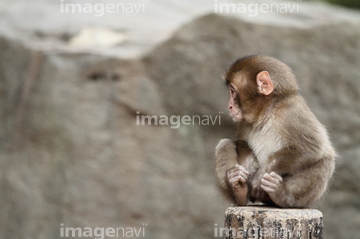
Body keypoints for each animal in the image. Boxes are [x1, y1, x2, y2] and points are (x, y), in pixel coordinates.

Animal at [215, 55, 336, 207]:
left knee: (326, 160)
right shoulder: (243, 123)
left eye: (232, 91)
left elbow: (311, 148)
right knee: (224, 144)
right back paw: (239, 190)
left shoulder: (291, 111)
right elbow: (240, 143)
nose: (229, 106)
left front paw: (260, 175)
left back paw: (283, 195)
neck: (267, 111)